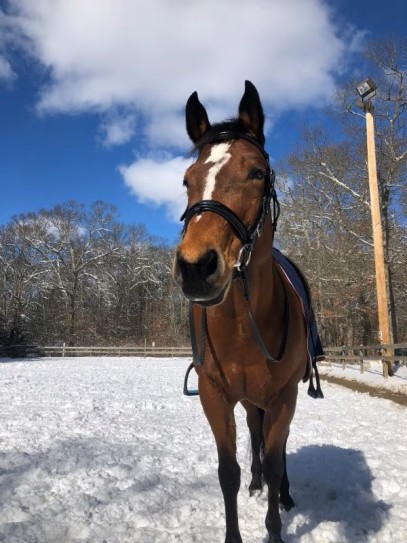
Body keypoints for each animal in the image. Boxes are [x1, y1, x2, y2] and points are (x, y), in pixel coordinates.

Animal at [172, 81, 322, 543]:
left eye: (257, 173)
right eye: (187, 179)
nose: (195, 267)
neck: (241, 327)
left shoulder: (283, 396)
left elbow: (275, 460)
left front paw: (275, 526)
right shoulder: (215, 396)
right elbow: (229, 472)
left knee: (278, 448)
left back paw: (284, 494)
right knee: (255, 436)